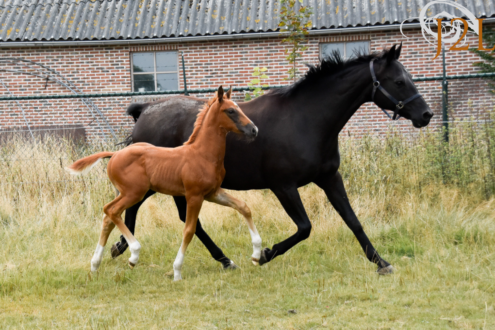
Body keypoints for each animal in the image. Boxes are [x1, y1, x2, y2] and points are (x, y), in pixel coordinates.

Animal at [68, 86, 262, 280]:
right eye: (231, 111)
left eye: (238, 108)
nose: (254, 130)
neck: (202, 154)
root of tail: (115, 154)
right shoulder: (194, 196)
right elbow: (189, 229)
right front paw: (177, 271)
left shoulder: (213, 193)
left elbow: (244, 207)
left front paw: (257, 254)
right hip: (134, 193)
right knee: (111, 210)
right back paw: (133, 255)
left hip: (127, 193)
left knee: (108, 217)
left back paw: (95, 265)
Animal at [111, 45, 430, 274]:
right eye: (399, 81)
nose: (425, 115)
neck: (306, 119)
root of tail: (145, 111)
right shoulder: (283, 186)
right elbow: (305, 227)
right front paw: (264, 255)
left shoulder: (329, 178)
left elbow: (353, 220)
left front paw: (381, 262)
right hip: (155, 184)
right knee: (135, 209)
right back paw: (127, 248)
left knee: (177, 219)